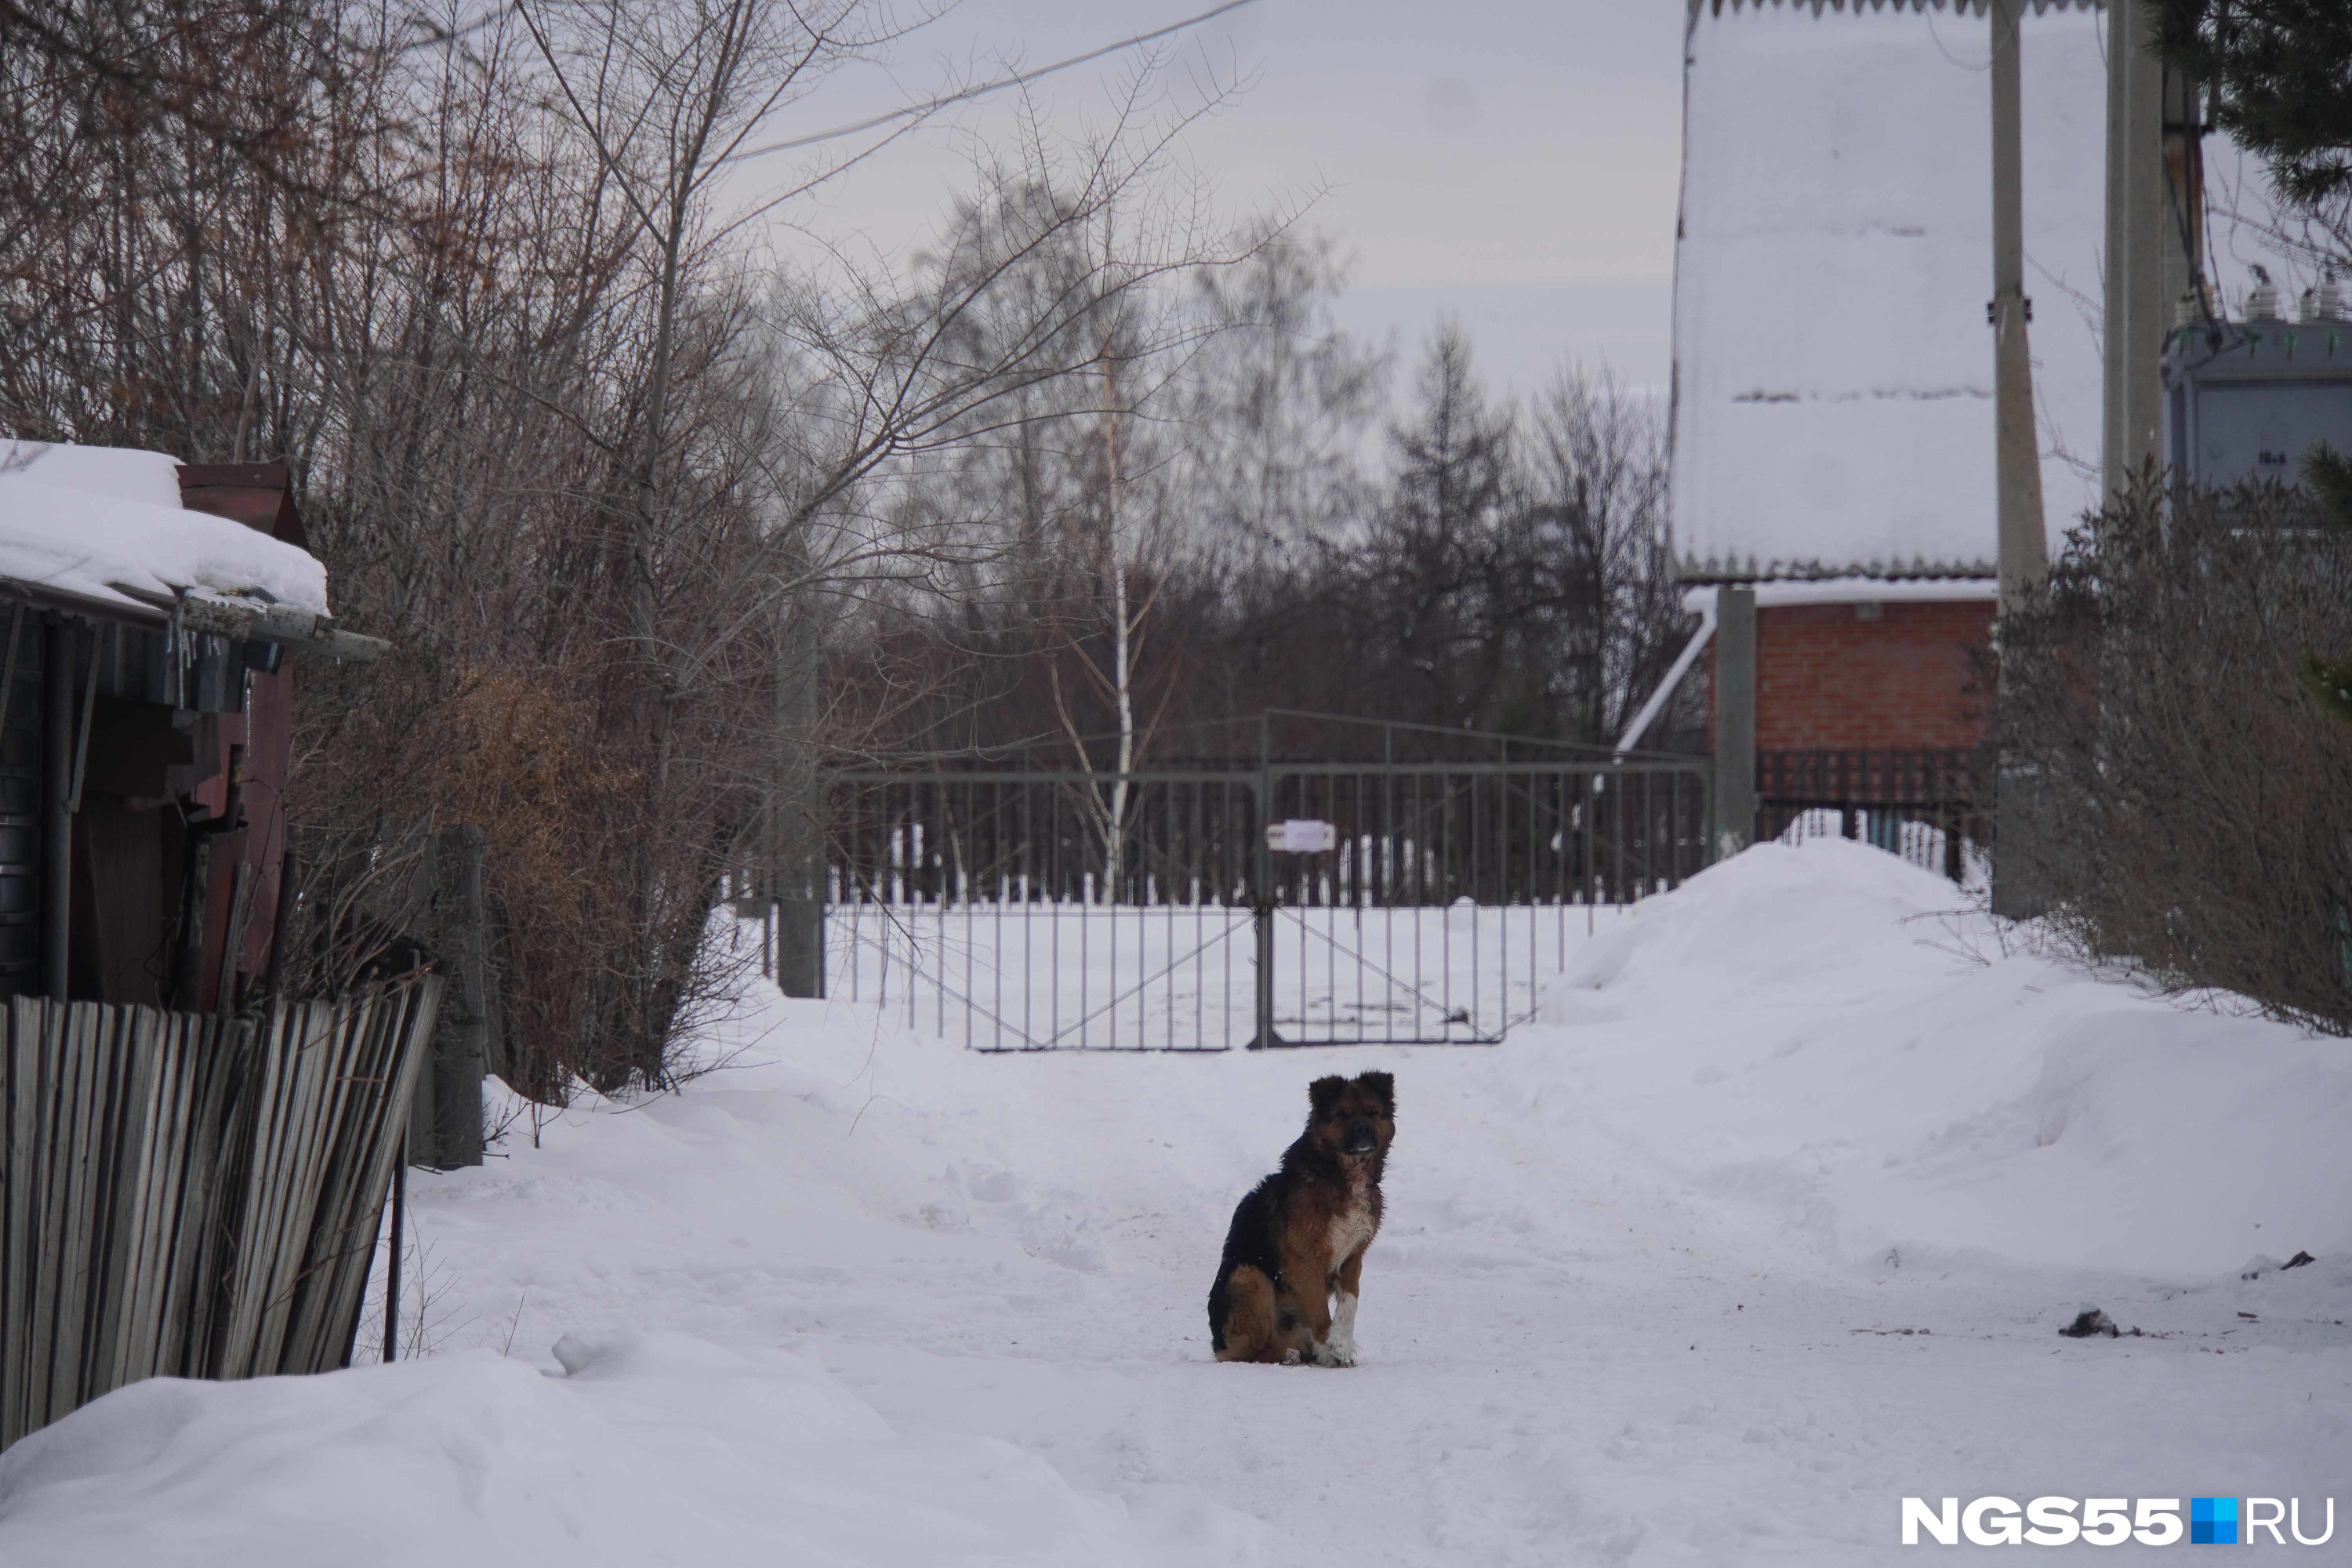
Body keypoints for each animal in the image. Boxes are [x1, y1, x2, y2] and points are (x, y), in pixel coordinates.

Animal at [1214, 1072, 1392, 1363]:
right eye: (1342, 1114)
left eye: (1372, 1112)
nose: (1363, 1130)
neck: (1341, 1176)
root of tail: (1216, 1343)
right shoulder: (1305, 1259)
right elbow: (1319, 1309)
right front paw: (1330, 1347)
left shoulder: (1353, 1256)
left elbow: (1349, 1303)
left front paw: (1341, 1344)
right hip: (1249, 1276)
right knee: (1246, 1351)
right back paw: (1287, 1354)